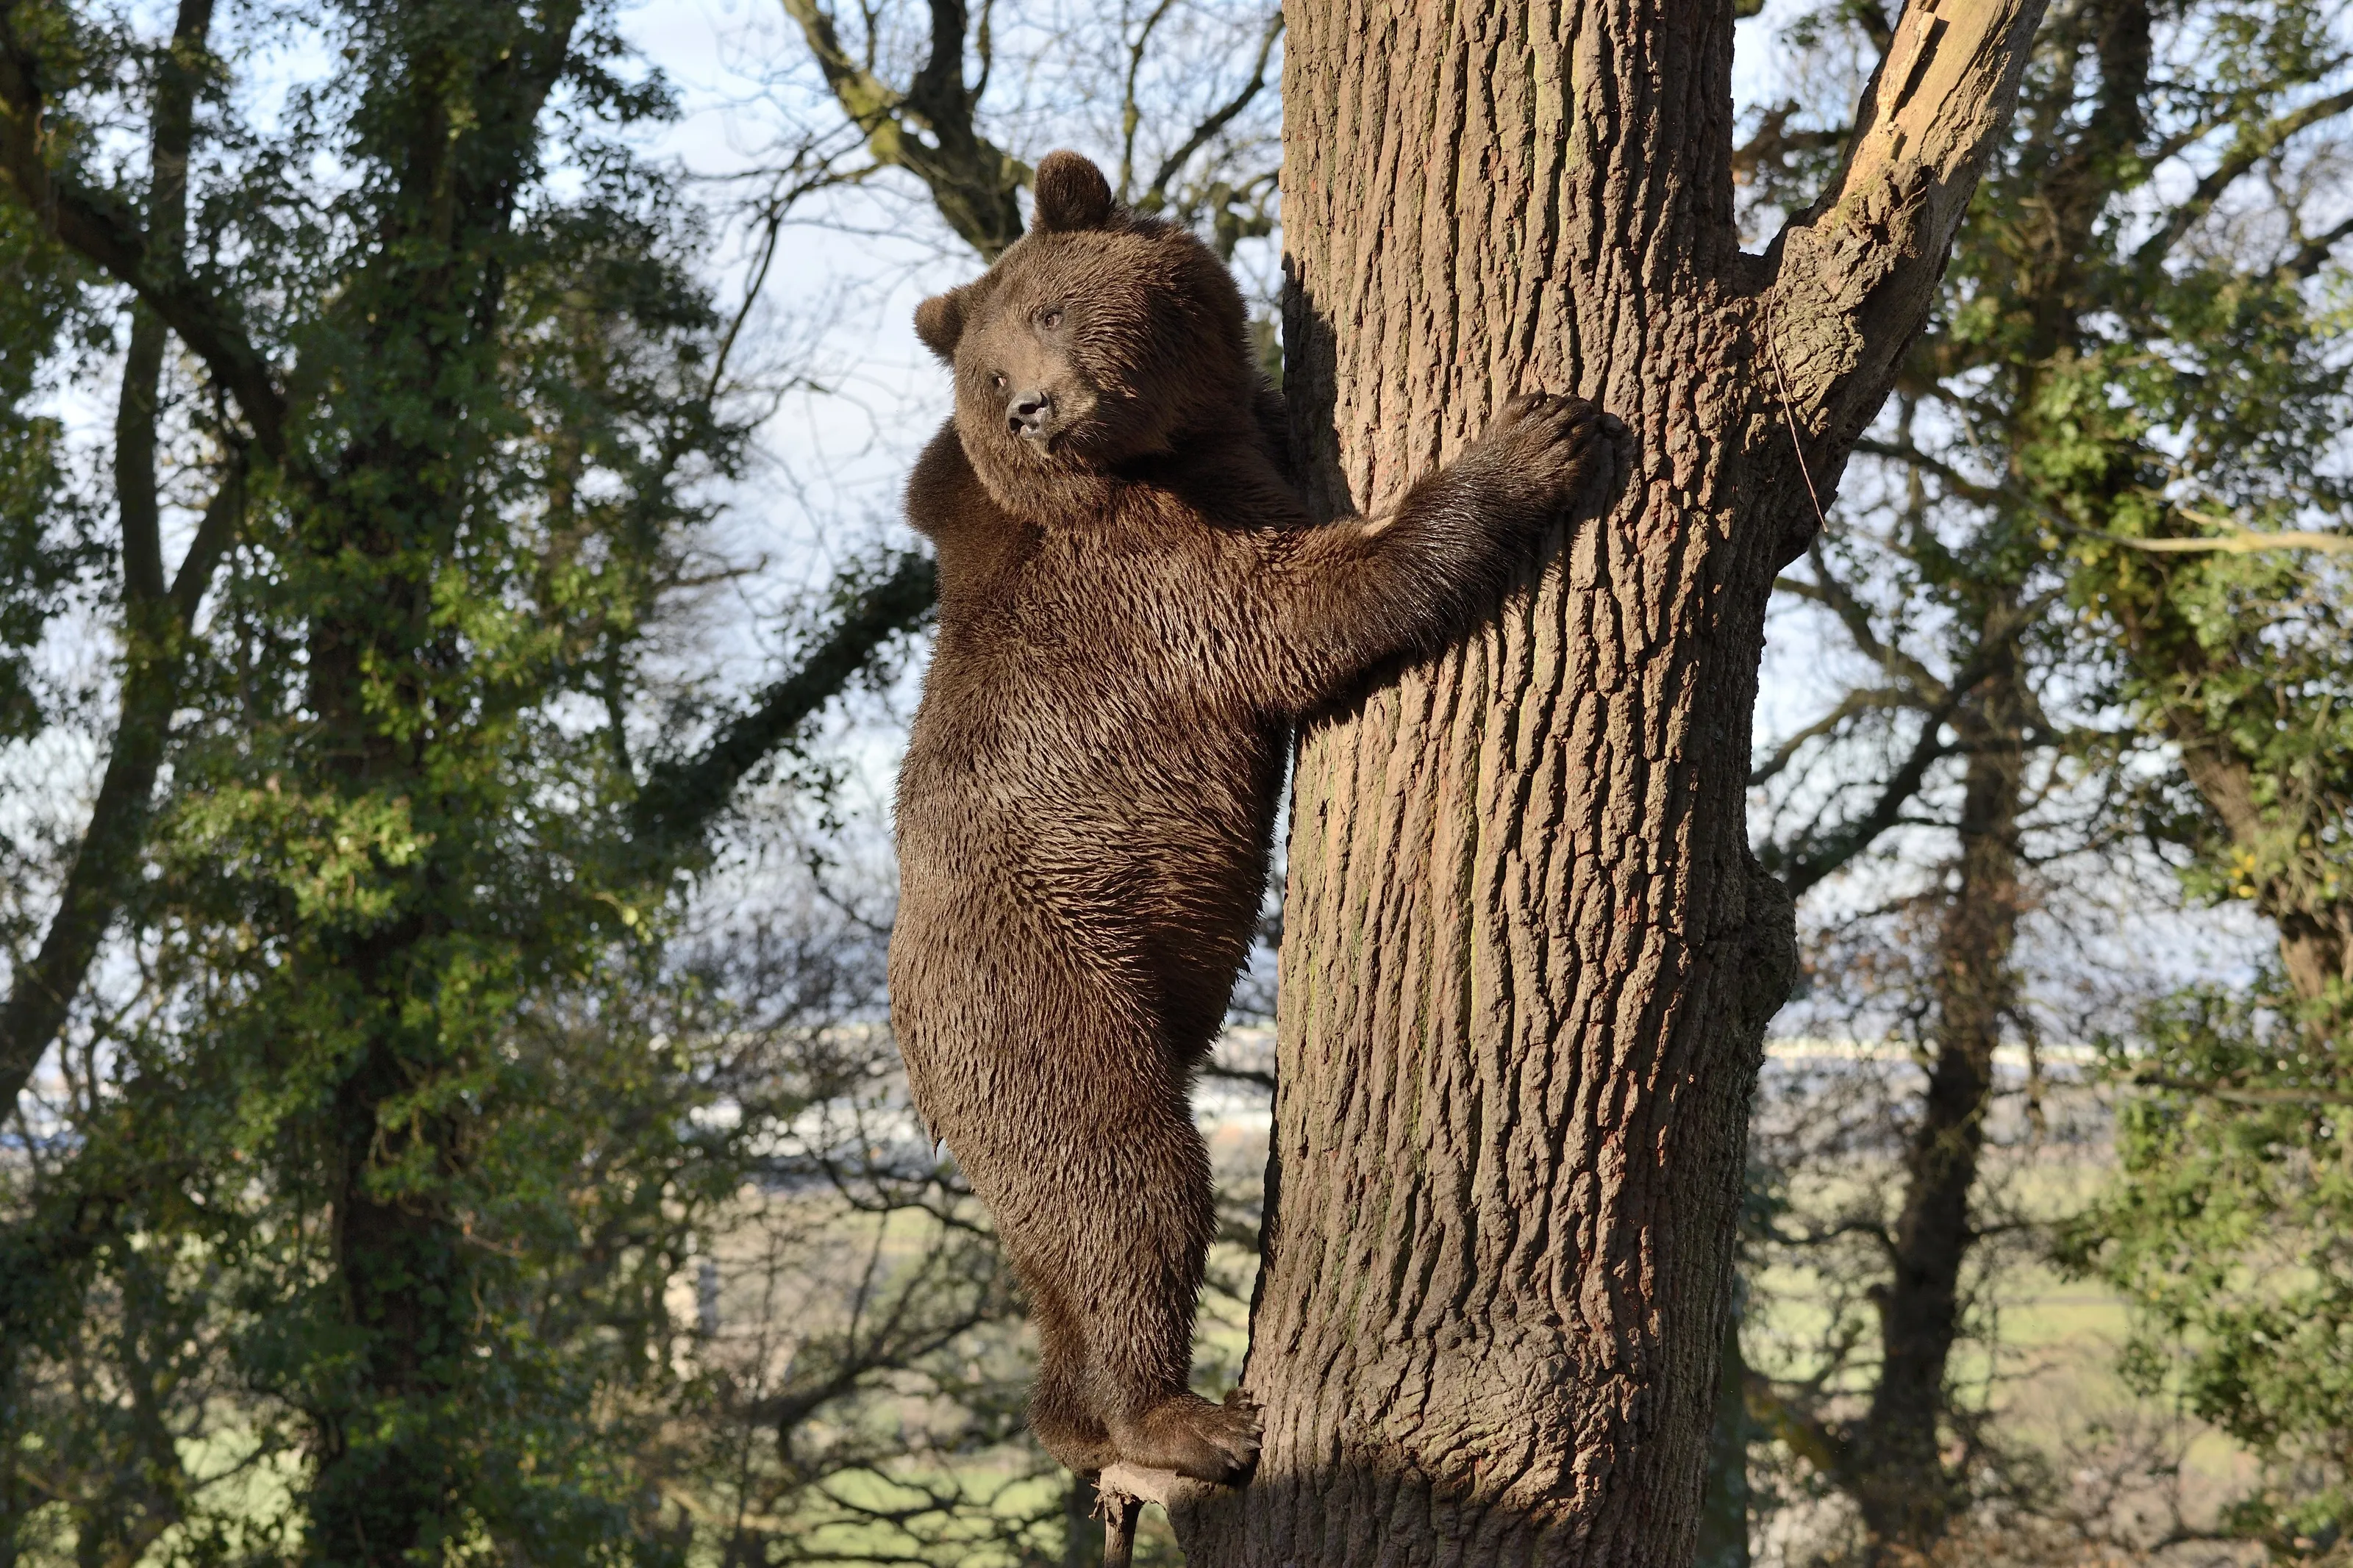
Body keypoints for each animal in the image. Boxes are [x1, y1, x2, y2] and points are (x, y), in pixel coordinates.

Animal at [886, 149, 1620, 1485]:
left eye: (1050, 313)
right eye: (994, 373)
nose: (1034, 411)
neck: (1175, 439)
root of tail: (912, 1041)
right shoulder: (1148, 580)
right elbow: (1308, 607)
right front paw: (1536, 436)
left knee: (1052, 1249)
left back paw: (1075, 1415)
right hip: (1045, 985)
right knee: (1124, 1180)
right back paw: (1186, 1417)